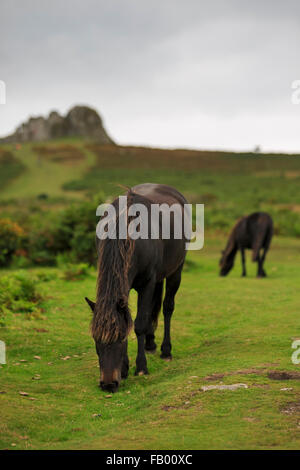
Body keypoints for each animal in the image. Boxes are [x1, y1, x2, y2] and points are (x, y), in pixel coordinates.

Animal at [84, 184, 188, 392]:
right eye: (96, 340)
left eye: (119, 340)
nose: (108, 384)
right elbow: (131, 319)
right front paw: (124, 368)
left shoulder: (147, 283)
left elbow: (139, 324)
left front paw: (140, 367)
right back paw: (150, 343)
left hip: (176, 271)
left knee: (167, 308)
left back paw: (166, 351)